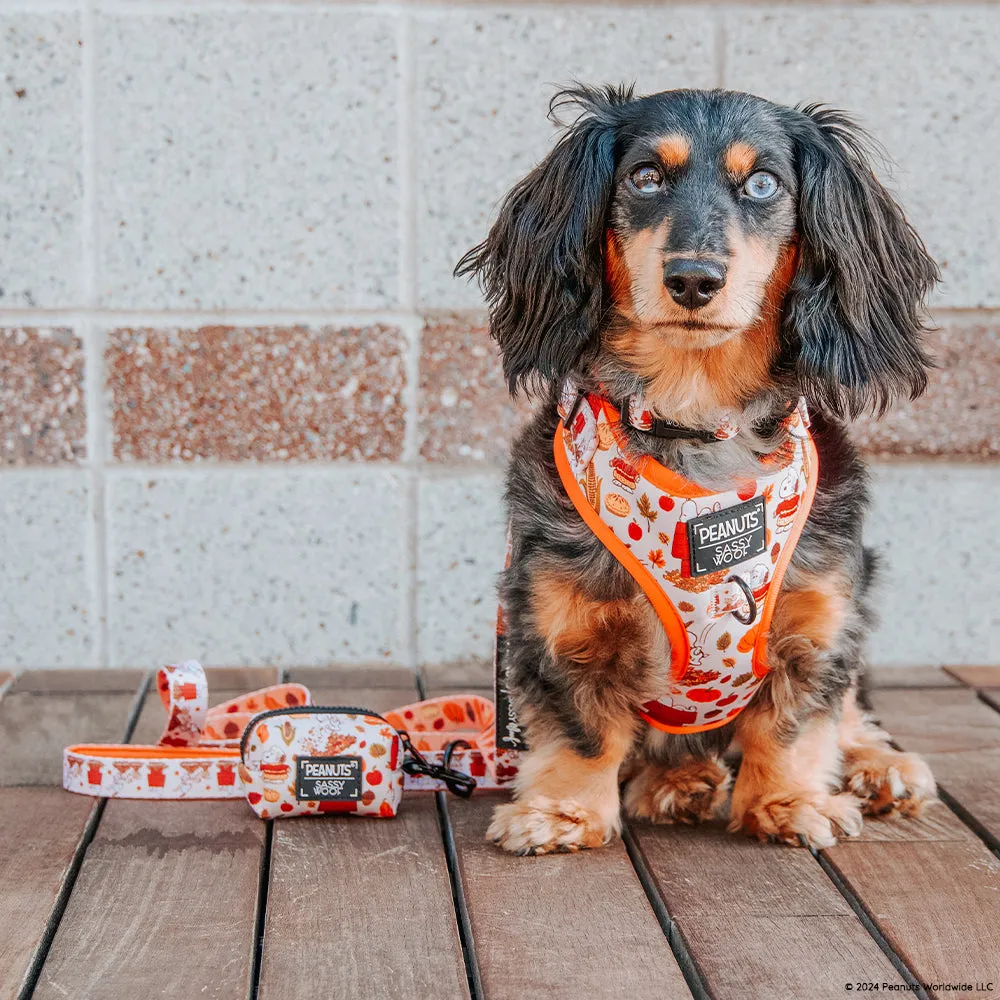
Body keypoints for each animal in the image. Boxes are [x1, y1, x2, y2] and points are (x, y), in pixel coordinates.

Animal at [458, 86, 940, 856]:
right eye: (645, 176)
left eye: (764, 183)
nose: (693, 278)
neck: (694, 415)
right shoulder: (558, 619)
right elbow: (582, 731)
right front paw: (562, 811)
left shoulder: (821, 618)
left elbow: (793, 723)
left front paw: (788, 802)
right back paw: (681, 782)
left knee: (851, 715)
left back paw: (880, 767)